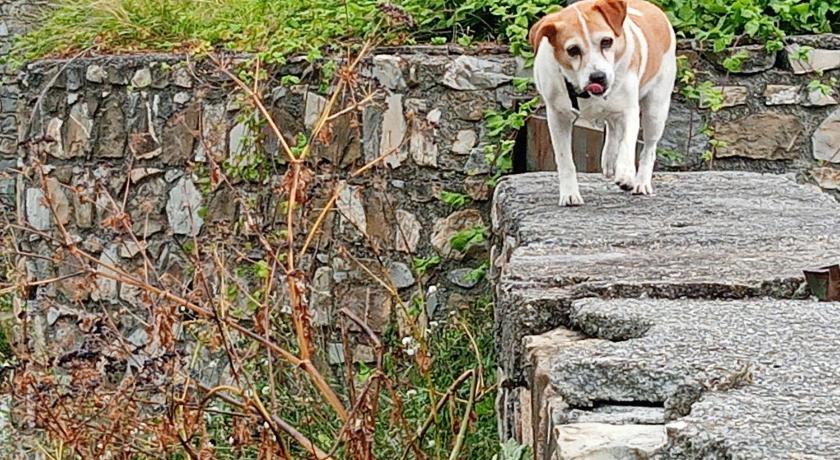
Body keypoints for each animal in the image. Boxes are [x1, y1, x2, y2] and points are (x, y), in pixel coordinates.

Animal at [528, 0, 676, 205]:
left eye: (607, 41)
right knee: (613, 128)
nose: (598, 77)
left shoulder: (629, 111)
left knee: (649, 148)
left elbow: (628, 144)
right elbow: (565, 160)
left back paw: (641, 182)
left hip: (655, 110)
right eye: (573, 50)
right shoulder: (557, 117)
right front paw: (569, 193)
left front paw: (626, 174)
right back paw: (609, 160)